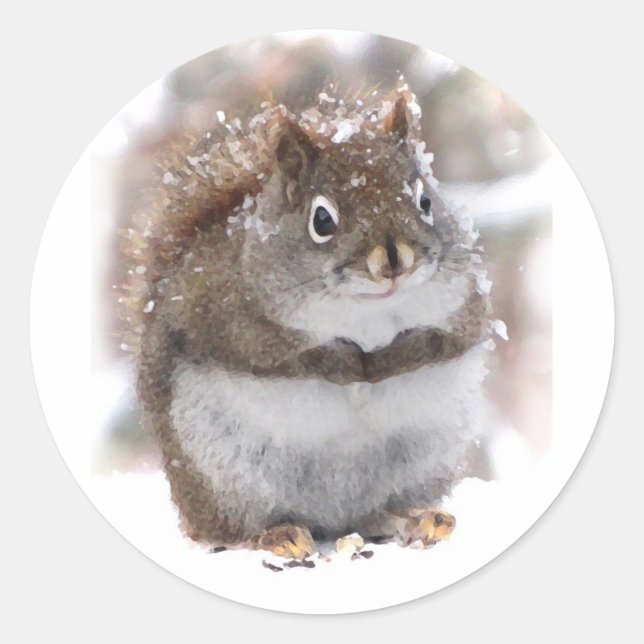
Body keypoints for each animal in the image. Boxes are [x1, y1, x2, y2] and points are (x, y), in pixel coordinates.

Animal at [118, 80, 495, 558]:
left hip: (422, 460)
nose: (395, 260)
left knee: (377, 513)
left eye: (425, 201)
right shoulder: (225, 312)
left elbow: (448, 340)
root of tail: (332, 519)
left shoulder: (465, 303)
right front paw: (344, 363)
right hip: (221, 473)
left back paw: (418, 518)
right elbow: (277, 355)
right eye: (322, 219)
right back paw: (274, 535)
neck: (367, 309)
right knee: (227, 532)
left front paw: (391, 359)